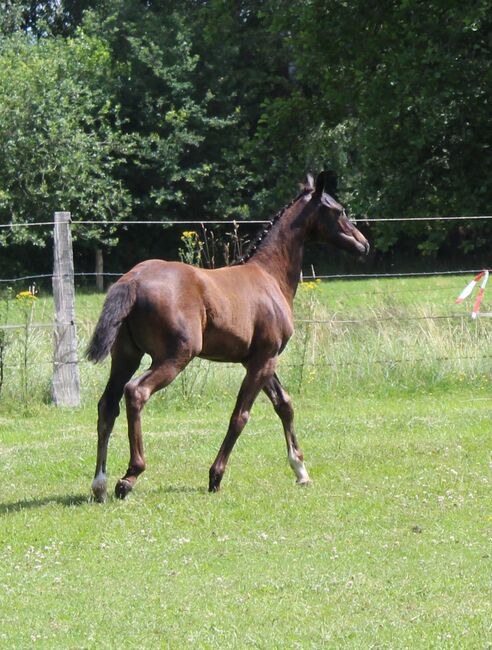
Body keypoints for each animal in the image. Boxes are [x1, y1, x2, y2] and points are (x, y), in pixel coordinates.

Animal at [86, 170, 368, 498]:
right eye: (338, 210)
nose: (364, 245)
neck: (270, 276)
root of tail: (133, 279)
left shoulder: (259, 359)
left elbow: (284, 405)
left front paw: (300, 470)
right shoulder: (263, 359)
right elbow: (240, 416)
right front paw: (215, 476)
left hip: (126, 354)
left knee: (108, 404)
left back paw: (100, 483)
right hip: (175, 356)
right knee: (135, 392)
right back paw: (129, 476)